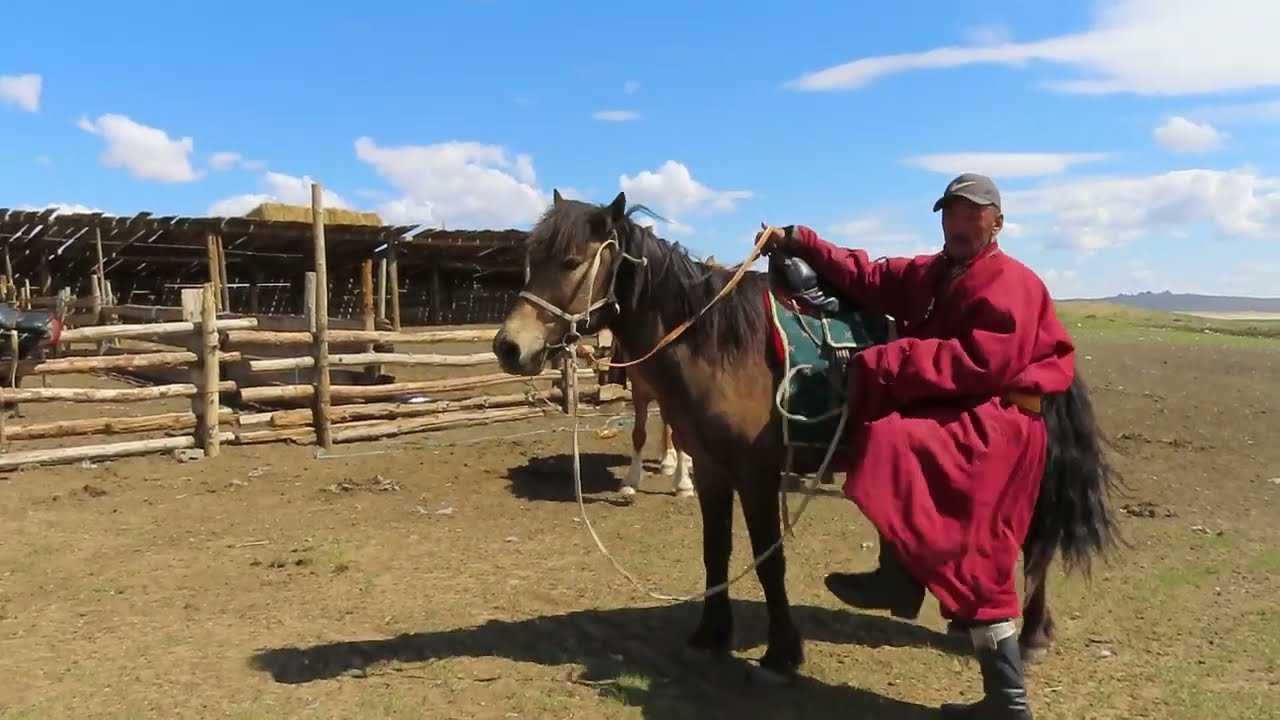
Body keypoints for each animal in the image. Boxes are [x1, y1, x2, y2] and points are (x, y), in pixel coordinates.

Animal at [492, 190, 1122, 683]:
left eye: (571, 261)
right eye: (530, 259)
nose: (509, 347)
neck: (722, 345)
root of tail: (1049, 340)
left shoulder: (756, 474)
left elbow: (768, 562)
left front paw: (781, 652)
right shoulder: (714, 470)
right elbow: (715, 552)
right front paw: (709, 635)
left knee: (1036, 545)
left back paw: (1032, 634)